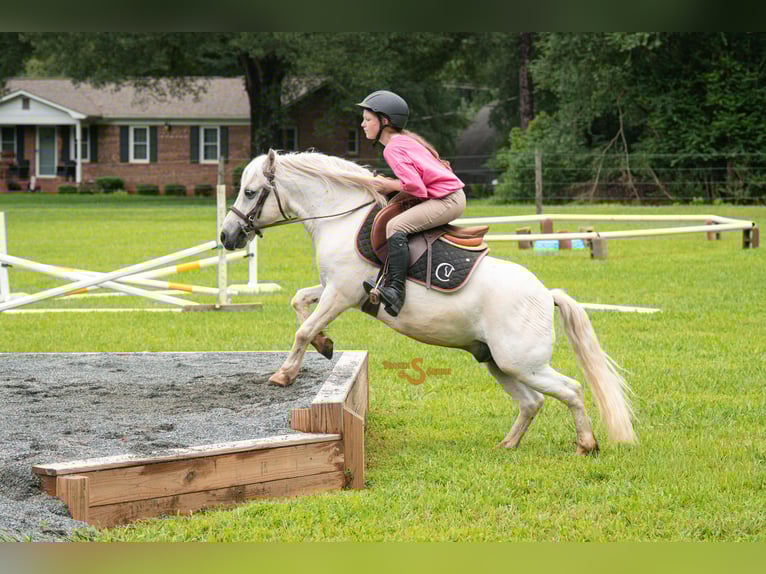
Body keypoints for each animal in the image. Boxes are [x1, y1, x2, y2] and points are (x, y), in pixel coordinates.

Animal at [220, 149, 636, 454]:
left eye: (251, 192)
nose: (226, 236)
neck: (342, 219)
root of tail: (546, 294)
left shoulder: (343, 292)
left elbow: (304, 330)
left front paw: (285, 374)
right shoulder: (336, 289)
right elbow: (299, 304)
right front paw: (325, 344)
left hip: (523, 363)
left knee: (572, 389)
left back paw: (586, 445)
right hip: (498, 361)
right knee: (532, 402)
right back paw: (508, 444)